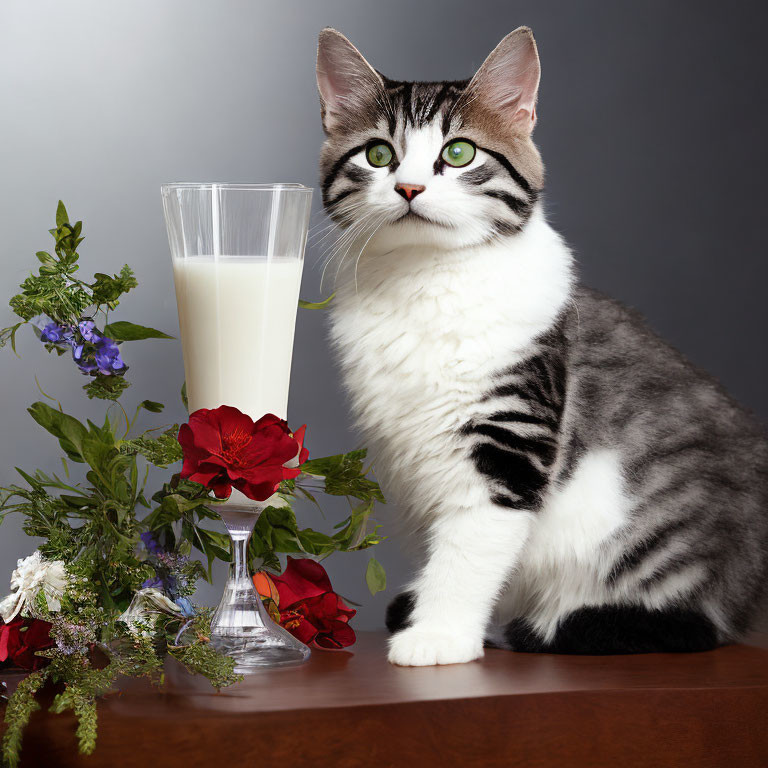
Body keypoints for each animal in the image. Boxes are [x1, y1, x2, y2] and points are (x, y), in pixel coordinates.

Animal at [314, 22, 768, 660]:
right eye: (379, 154)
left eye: (459, 153)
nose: (408, 187)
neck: (425, 279)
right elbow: (444, 546)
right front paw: (427, 615)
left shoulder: (511, 435)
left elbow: (470, 548)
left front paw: (439, 634)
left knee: (690, 622)